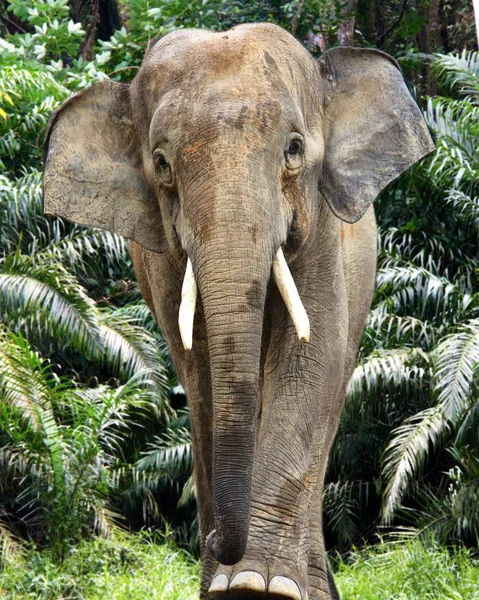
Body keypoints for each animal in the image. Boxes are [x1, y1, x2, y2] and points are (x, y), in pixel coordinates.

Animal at [45, 22, 436, 600]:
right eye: (161, 164)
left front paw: (261, 585)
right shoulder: (164, 263)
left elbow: (310, 358)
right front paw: (235, 586)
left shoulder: (324, 234)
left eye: (293, 149)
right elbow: (202, 371)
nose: (212, 540)